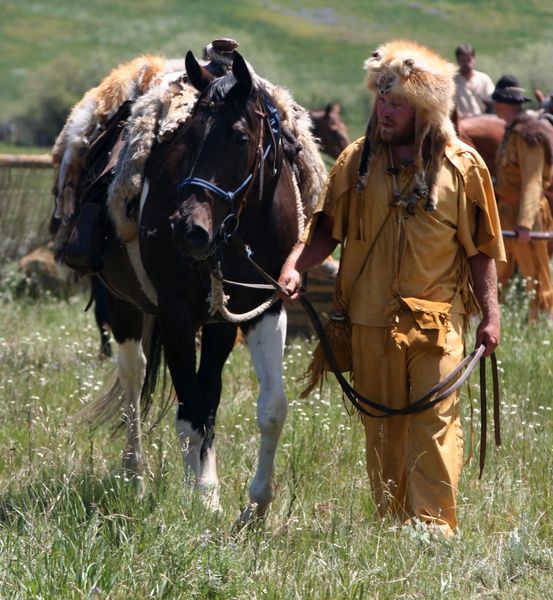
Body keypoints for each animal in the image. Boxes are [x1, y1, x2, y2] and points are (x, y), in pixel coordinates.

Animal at [57, 50, 316, 520]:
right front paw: (205, 498)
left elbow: (268, 407)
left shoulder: (263, 308)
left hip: (217, 325)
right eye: (188, 138)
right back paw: (136, 478)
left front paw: (255, 506)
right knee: (134, 380)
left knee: (204, 390)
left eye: (239, 138)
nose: (188, 229)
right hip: (124, 308)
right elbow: (189, 413)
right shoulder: (176, 314)